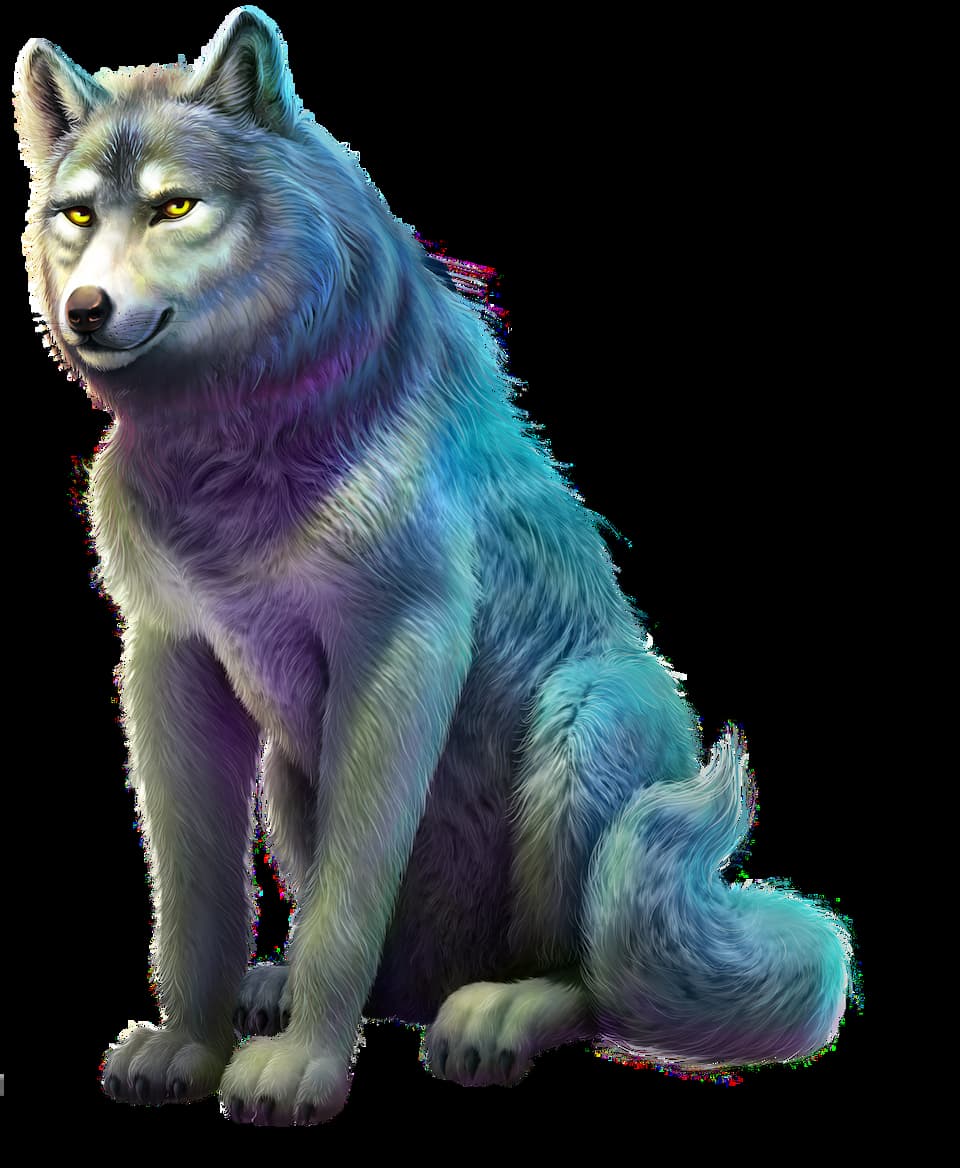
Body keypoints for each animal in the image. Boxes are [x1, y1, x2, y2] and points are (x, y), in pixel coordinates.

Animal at [14, 6, 854, 1125]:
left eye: (174, 207)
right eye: (75, 215)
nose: (86, 309)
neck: (232, 445)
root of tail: (436, 980)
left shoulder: (400, 645)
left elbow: (345, 902)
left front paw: (298, 1070)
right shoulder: (170, 653)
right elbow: (195, 899)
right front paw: (191, 1047)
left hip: (590, 711)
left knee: (585, 977)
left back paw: (489, 1012)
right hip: (290, 773)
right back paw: (282, 989)